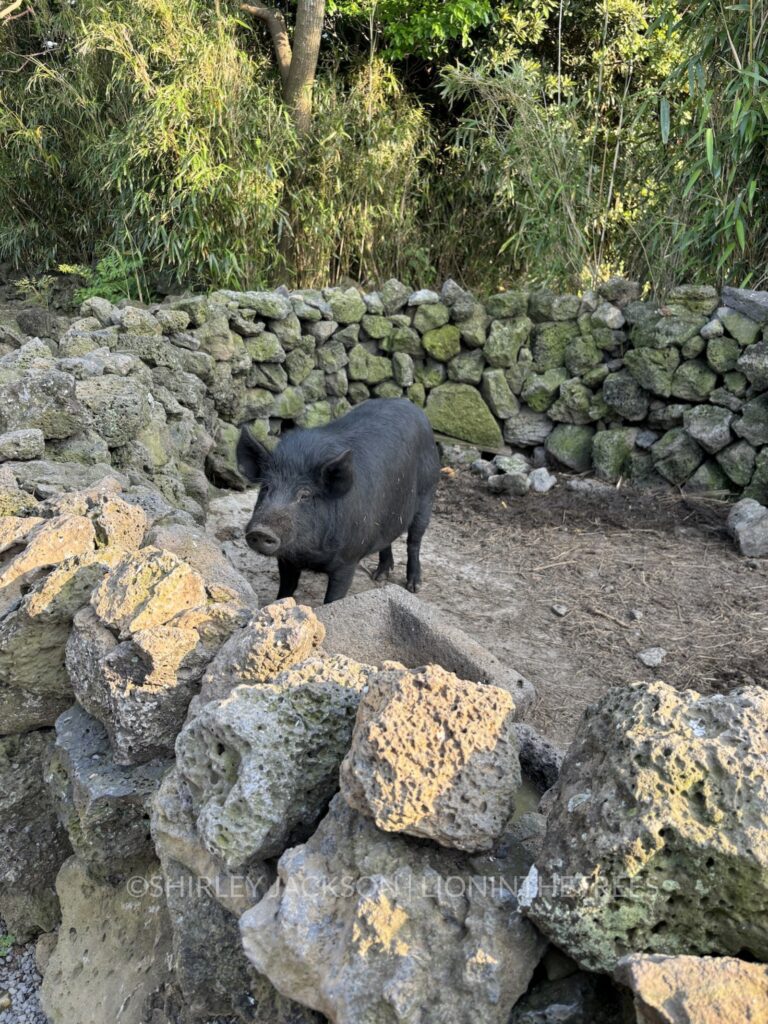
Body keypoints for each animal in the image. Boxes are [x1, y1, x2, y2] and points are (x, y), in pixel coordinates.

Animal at [236, 395, 438, 602]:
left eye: (305, 495)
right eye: (266, 487)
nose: (261, 531)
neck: (308, 556)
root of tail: (410, 404)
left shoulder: (347, 561)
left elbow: (333, 599)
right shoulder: (286, 559)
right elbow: (286, 589)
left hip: (428, 493)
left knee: (414, 541)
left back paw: (413, 586)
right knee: (388, 538)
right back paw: (379, 576)